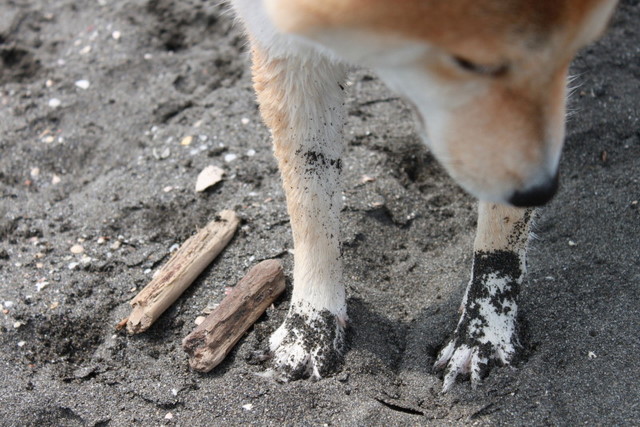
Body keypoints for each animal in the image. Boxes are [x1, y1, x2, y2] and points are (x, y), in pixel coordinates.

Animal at [228, 0, 618, 390]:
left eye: (573, 49)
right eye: (471, 64)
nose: (543, 190)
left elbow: (502, 227)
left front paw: (483, 332)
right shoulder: (282, 45)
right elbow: (309, 201)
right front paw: (309, 327)